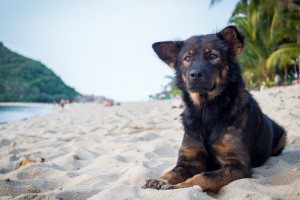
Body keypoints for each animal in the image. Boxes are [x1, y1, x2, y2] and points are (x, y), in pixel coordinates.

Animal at [142, 25, 288, 192]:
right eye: (187, 58)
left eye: (213, 56)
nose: (195, 74)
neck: (205, 110)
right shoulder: (187, 162)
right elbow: (171, 172)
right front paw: (159, 180)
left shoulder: (238, 166)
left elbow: (203, 177)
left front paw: (179, 186)